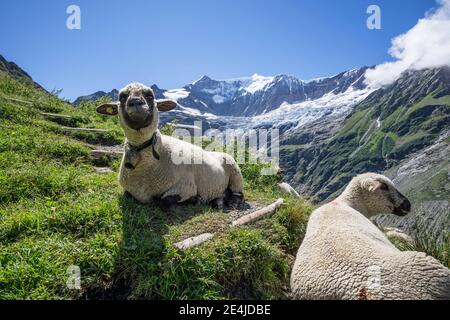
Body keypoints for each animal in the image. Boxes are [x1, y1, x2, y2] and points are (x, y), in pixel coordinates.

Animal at [94, 82, 243, 210]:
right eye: (122, 96)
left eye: (150, 95)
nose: (135, 102)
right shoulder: (128, 190)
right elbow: (126, 196)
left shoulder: (186, 186)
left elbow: (165, 202)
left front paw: (193, 200)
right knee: (223, 193)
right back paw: (218, 201)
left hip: (235, 172)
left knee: (238, 193)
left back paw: (231, 203)